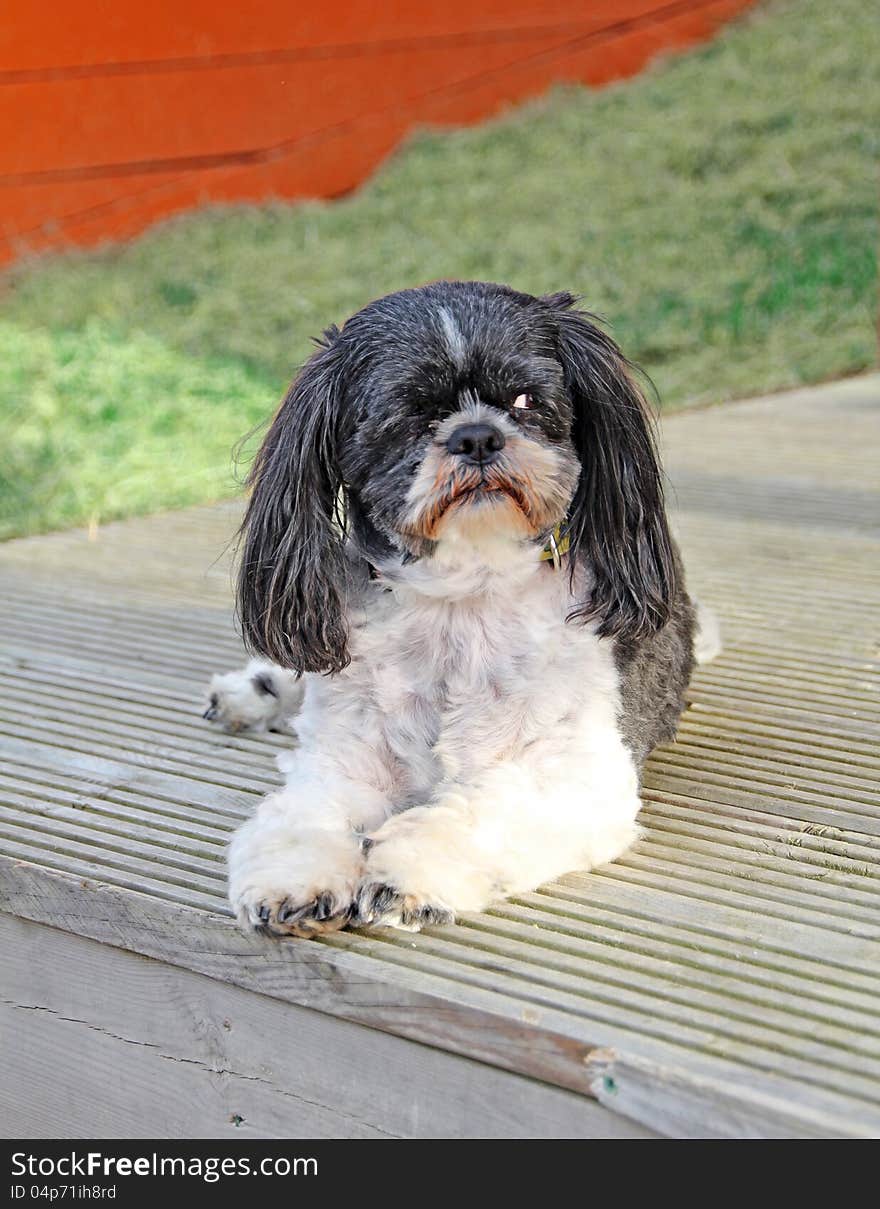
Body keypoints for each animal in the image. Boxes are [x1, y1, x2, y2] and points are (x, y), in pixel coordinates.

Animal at [206, 280, 715, 933]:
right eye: (412, 412)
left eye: (525, 399)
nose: (476, 435)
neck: (462, 598)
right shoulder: (345, 760)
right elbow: (306, 814)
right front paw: (294, 879)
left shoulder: (578, 769)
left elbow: (482, 811)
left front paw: (407, 872)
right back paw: (256, 690)